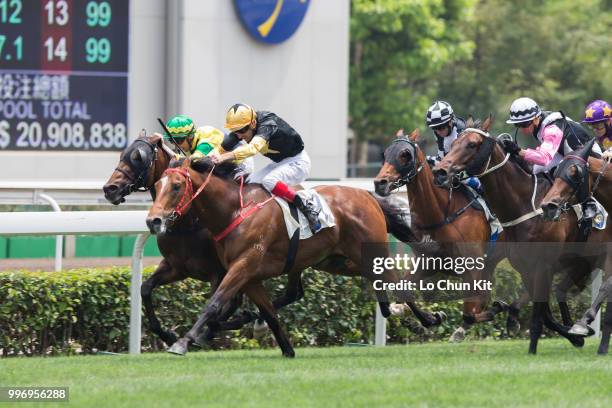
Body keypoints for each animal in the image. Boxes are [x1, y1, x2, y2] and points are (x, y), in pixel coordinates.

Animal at [146, 158, 438, 356]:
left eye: (176, 186)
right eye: (157, 185)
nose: (153, 221)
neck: (234, 211)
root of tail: (366, 195)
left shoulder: (242, 266)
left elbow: (214, 303)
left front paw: (183, 341)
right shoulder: (248, 276)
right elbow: (269, 312)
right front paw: (286, 348)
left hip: (369, 252)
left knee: (397, 282)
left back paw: (429, 319)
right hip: (338, 260)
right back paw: (399, 312)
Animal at [372, 130, 512, 342]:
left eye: (405, 154)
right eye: (385, 153)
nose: (380, 183)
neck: (442, 214)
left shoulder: (472, 267)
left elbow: (470, 311)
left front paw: (500, 306)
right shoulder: (427, 262)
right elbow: (402, 289)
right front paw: (425, 318)